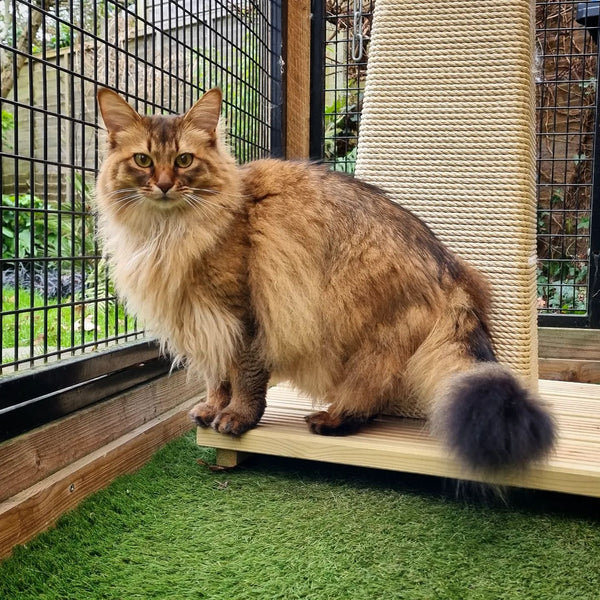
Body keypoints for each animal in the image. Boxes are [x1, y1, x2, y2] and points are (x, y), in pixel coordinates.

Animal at [96, 89, 556, 474]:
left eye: (184, 160)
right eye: (142, 160)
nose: (163, 185)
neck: (166, 234)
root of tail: (452, 267)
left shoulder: (242, 315)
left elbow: (243, 376)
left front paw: (237, 418)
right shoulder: (202, 320)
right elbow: (216, 377)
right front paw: (210, 410)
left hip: (362, 329)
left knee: (370, 390)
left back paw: (332, 419)